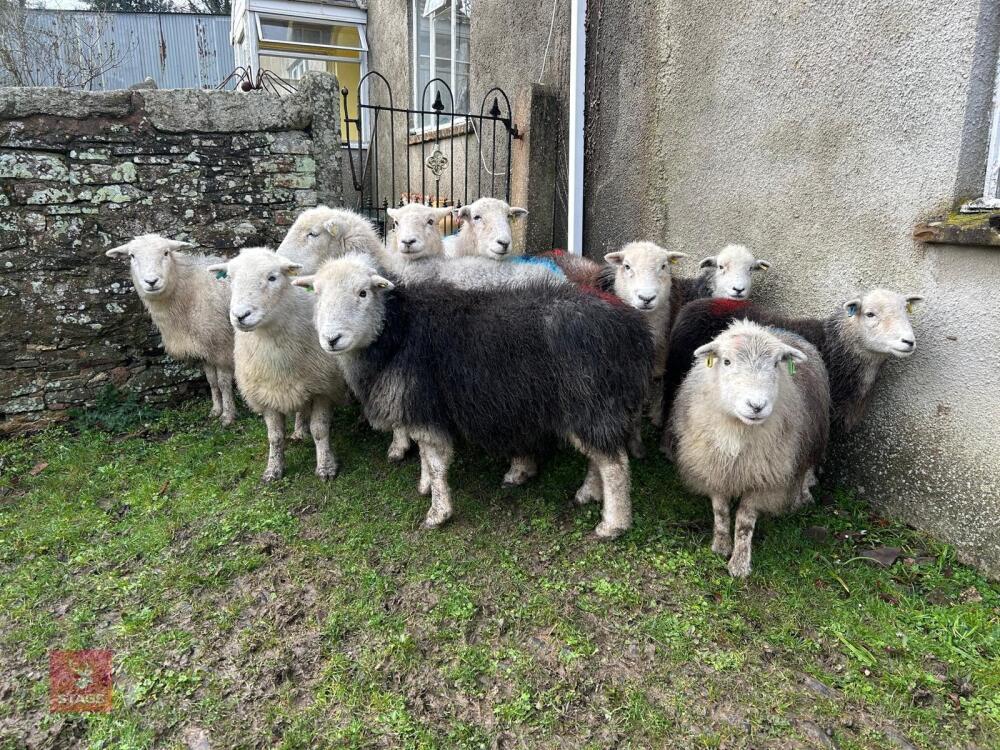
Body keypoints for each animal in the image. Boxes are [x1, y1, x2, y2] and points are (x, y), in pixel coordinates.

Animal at [105, 234, 236, 427]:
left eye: (166, 252)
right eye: (132, 256)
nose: (151, 281)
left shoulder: (221, 346)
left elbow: (224, 383)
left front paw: (227, 416)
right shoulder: (203, 348)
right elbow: (212, 381)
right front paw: (215, 410)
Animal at [206, 247, 349, 482]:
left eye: (272, 278)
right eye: (230, 279)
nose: (240, 316)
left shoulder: (324, 389)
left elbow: (320, 430)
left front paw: (326, 467)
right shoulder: (266, 394)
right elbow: (274, 436)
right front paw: (273, 469)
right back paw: (299, 432)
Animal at [297, 252, 653, 538]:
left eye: (363, 292)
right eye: (317, 292)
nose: (331, 339)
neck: (396, 330)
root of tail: (630, 329)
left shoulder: (424, 409)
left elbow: (437, 463)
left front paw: (438, 513)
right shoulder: (423, 410)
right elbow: (425, 457)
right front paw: (425, 487)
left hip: (591, 402)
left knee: (615, 465)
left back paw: (612, 525)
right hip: (592, 408)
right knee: (598, 457)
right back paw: (588, 493)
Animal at [659, 289, 924, 456]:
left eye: (905, 311)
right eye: (870, 314)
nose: (908, 342)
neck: (835, 348)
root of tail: (693, 305)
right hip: (677, 372)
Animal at [670, 320, 830, 577]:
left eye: (776, 363)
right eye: (726, 361)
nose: (756, 405)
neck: (739, 432)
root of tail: (782, 330)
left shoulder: (762, 478)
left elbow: (745, 522)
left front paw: (740, 563)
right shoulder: (714, 468)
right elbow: (720, 511)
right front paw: (721, 545)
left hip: (814, 436)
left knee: (806, 466)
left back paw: (803, 495)